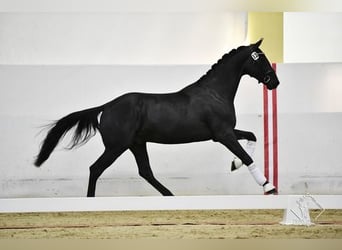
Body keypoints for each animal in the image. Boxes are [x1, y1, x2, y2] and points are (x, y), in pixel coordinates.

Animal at [35, 39, 280, 196]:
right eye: (260, 59)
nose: (274, 82)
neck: (215, 93)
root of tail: (107, 106)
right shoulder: (222, 134)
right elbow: (247, 156)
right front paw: (268, 187)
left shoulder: (224, 132)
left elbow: (252, 137)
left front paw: (234, 164)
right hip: (116, 146)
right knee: (95, 169)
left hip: (136, 144)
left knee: (145, 171)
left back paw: (171, 196)